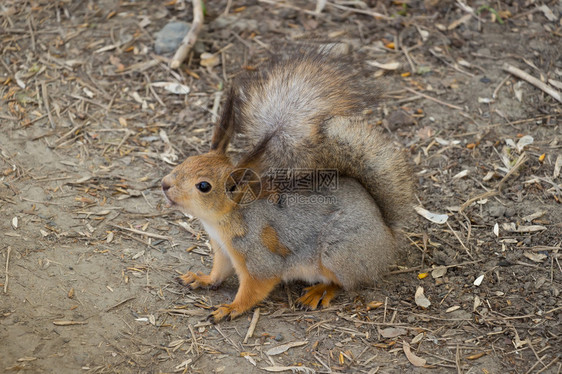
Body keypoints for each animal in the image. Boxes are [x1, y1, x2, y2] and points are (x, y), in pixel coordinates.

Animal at [160, 49, 414, 322]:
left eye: (204, 186)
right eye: (187, 160)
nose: (164, 184)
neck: (225, 220)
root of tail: (386, 231)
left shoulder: (260, 258)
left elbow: (254, 289)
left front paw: (231, 308)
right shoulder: (223, 251)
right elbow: (219, 272)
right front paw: (202, 279)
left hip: (339, 253)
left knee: (345, 283)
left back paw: (319, 292)